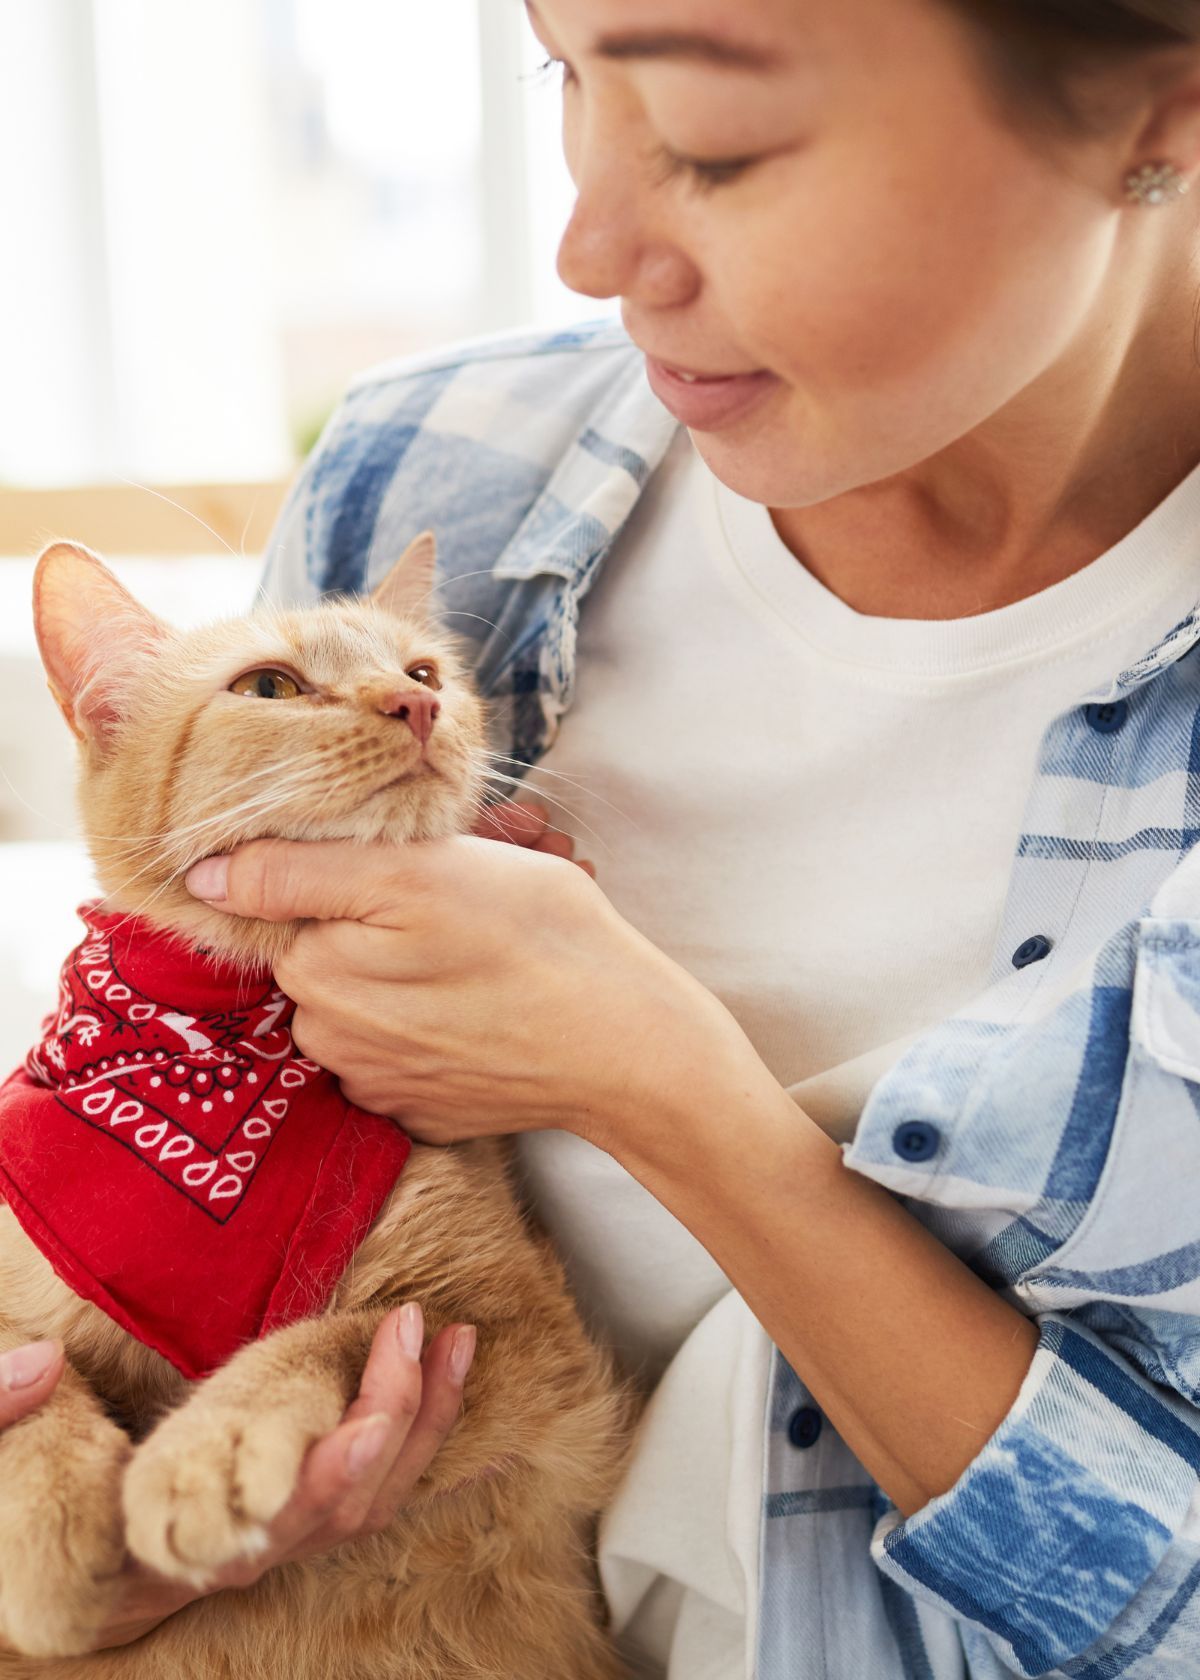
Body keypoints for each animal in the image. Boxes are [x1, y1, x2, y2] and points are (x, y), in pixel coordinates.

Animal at [0, 537, 635, 1680]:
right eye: (269, 688)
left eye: (424, 672)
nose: (415, 705)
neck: (223, 1044)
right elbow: (33, 1385)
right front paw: (45, 1518)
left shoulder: (530, 1343)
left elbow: (330, 1335)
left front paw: (213, 1448)